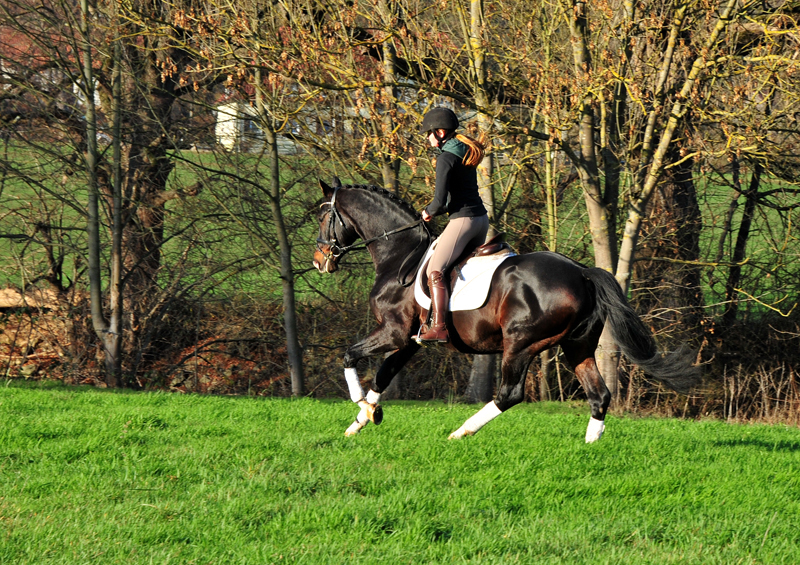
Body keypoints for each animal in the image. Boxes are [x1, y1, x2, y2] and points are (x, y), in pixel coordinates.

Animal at [312, 178, 700, 438]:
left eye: (323, 218)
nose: (319, 260)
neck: (399, 255)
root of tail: (582, 273)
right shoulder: (409, 341)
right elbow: (383, 375)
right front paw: (361, 421)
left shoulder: (393, 332)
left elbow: (350, 356)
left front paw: (362, 406)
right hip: (578, 345)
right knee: (599, 395)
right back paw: (590, 448)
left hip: (521, 343)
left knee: (510, 394)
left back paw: (461, 432)